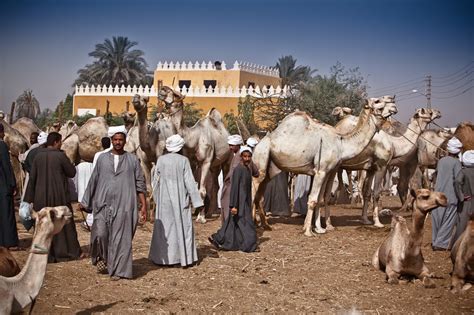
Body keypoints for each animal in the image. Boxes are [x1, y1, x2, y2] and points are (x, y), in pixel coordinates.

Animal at [132, 87, 231, 223]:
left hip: (227, 159)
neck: (193, 138)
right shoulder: (191, 161)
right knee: (216, 184)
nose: (162, 89)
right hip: (215, 165)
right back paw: (210, 213)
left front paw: (200, 217)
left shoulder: (206, 161)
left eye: (176, 94)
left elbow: (201, 190)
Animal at [254, 97, 398, 236]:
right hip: (261, 161)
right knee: (254, 188)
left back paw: (265, 225)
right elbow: (313, 199)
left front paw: (320, 228)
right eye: (378, 101)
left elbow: (320, 198)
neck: (341, 143)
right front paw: (308, 231)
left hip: (270, 169)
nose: (394, 105)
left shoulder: (329, 171)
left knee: (259, 196)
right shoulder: (321, 171)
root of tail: (261, 142)